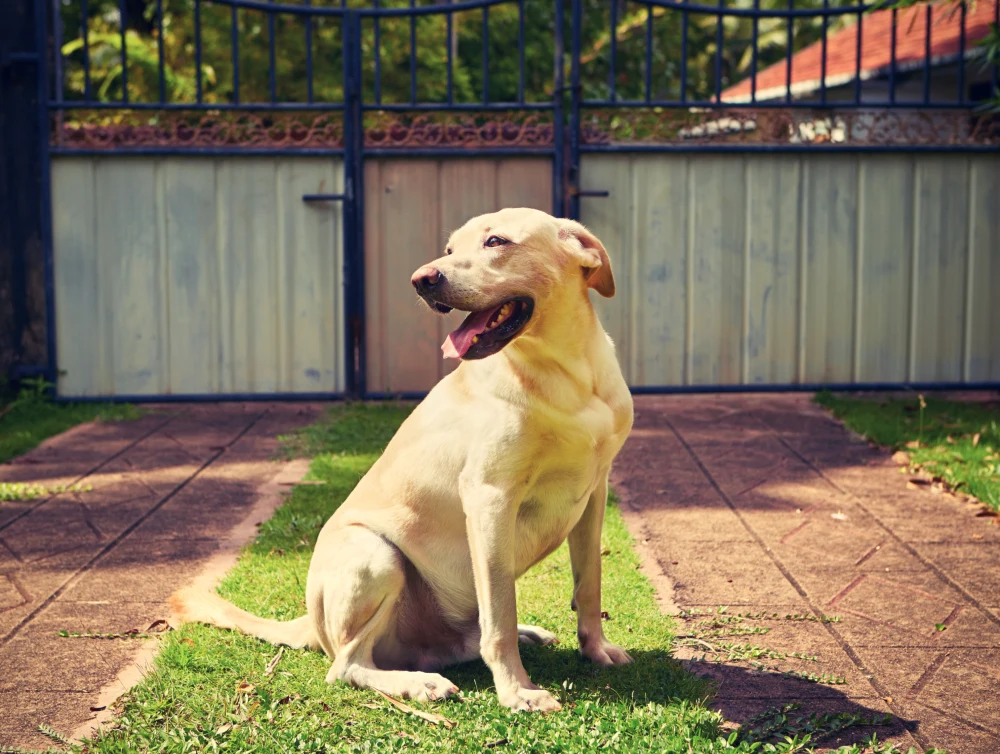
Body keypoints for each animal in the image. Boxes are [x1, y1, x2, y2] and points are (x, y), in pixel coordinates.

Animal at [172, 207, 632, 712]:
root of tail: (311, 624)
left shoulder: (593, 495)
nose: (422, 279)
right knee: (348, 666)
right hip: (376, 555)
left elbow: (588, 585)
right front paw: (517, 690)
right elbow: (501, 613)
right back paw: (418, 683)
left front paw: (595, 648)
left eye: (496, 241)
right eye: (449, 249)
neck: (571, 377)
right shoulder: (490, 498)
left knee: (465, 636)